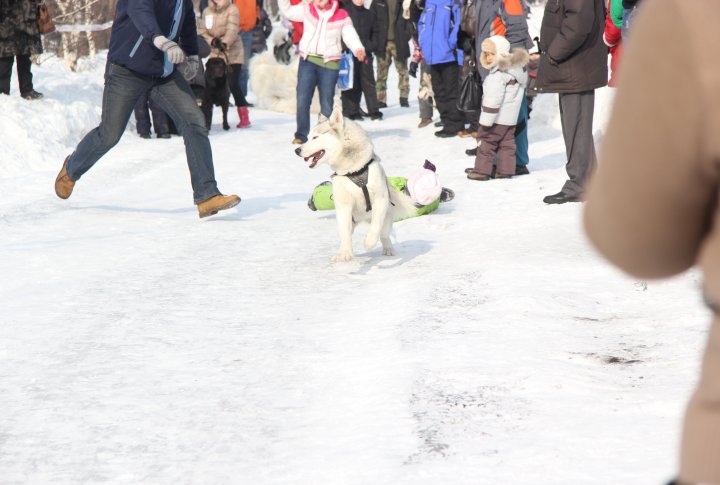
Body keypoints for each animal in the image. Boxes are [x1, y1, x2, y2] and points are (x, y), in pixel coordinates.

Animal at [296, 108, 416, 262]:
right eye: (308, 137)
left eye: (315, 138)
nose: (297, 150)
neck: (353, 170)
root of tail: (362, 219)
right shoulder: (344, 205)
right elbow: (345, 233)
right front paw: (346, 252)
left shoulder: (380, 199)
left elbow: (375, 227)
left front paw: (369, 242)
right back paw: (341, 252)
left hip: (387, 218)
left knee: (383, 234)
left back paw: (388, 248)